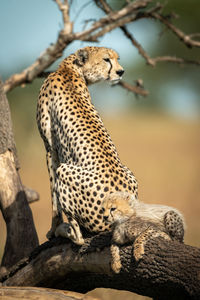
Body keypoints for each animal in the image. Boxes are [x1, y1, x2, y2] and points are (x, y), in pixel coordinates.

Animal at [36, 46, 138, 244]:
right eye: (107, 59)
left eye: (117, 59)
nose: (121, 72)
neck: (69, 69)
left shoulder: (50, 150)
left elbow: (53, 197)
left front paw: (53, 229)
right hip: (130, 173)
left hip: (64, 170)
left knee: (79, 237)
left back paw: (66, 230)